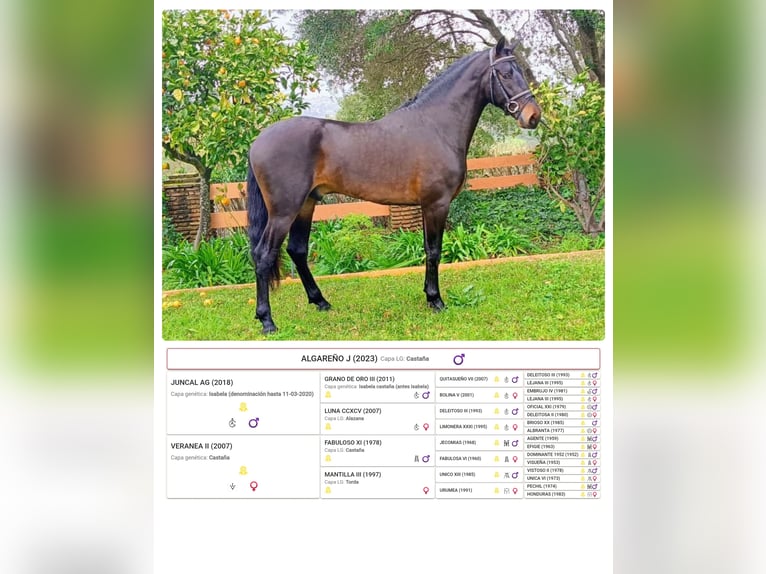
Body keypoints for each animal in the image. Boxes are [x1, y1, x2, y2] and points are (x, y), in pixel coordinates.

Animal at [246, 37, 541, 334]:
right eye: (506, 73)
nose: (533, 116)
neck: (436, 126)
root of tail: (258, 140)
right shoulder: (436, 204)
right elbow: (433, 251)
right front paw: (436, 300)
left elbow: (427, 249)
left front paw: (428, 296)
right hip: (284, 212)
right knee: (263, 255)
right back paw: (267, 320)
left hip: (306, 205)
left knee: (297, 251)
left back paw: (320, 301)